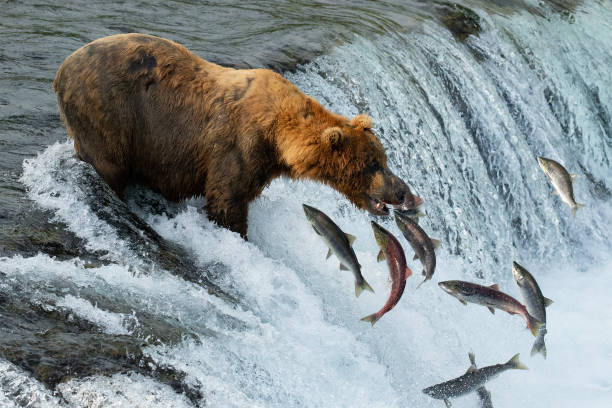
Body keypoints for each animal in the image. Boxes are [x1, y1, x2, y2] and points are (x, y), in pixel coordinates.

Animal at [53, 34, 420, 239]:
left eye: (384, 159)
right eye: (373, 164)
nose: (404, 192)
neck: (279, 138)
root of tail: (62, 69)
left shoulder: (260, 164)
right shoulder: (236, 147)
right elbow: (226, 202)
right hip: (109, 111)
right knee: (108, 165)